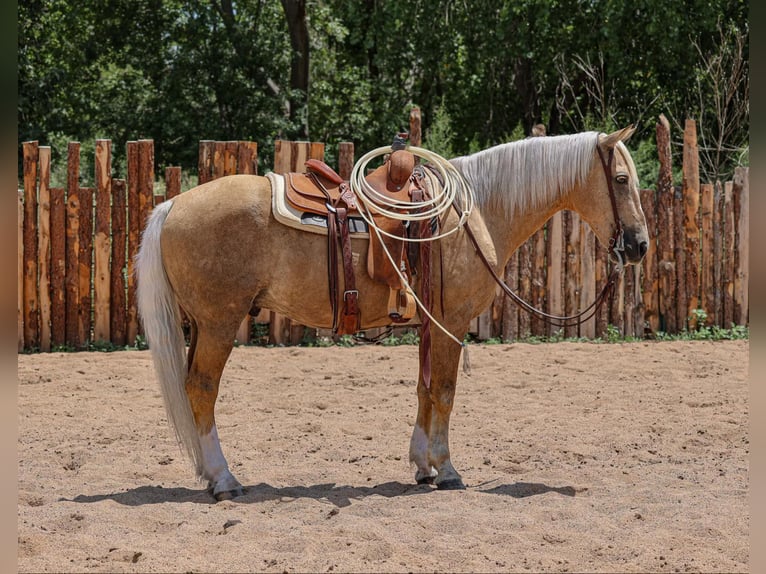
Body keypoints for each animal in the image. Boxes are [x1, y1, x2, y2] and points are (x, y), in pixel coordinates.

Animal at [136, 126, 648, 500]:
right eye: (621, 180)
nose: (640, 245)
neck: (478, 212)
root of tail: (172, 204)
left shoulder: (430, 324)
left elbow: (424, 391)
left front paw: (422, 466)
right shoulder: (452, 323)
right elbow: (444, 392)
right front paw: (447, 469)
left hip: (202, 326)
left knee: (191, 391)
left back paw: (208, 473)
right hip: (219, 323)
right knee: (202, 390)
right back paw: (224, 479)